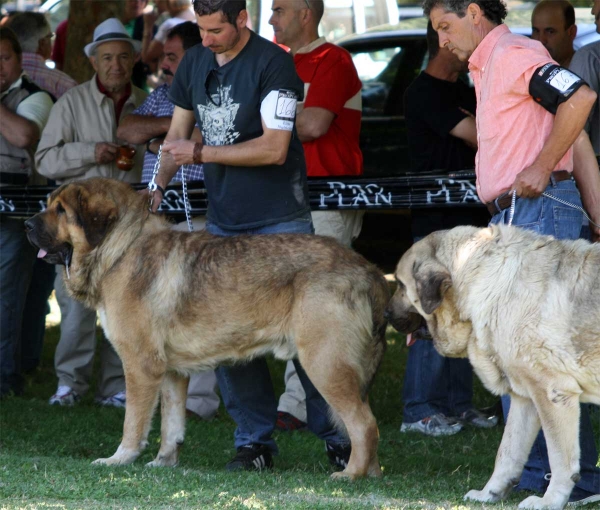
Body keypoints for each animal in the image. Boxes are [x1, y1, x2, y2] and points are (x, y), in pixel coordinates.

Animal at [25, 178, 390, 478]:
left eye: (61, 210)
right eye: (50, 204)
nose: (27, 223)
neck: (121, 249)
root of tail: (367, 269)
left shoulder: (141, 366)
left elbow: (133, 423)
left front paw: (119, 459)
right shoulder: (171, 372)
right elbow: (171, 426)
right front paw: (163, 462)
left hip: (324, 363)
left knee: (364, 424)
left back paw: (350, 475)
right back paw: (369, 473)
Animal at [386, 225, 596, 510]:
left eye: (400, 284)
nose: (385, 314)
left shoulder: (551, 393)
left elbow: (559, 458)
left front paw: (549, 501)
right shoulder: (525, 398)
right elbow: (507, 452)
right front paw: (490, 493)